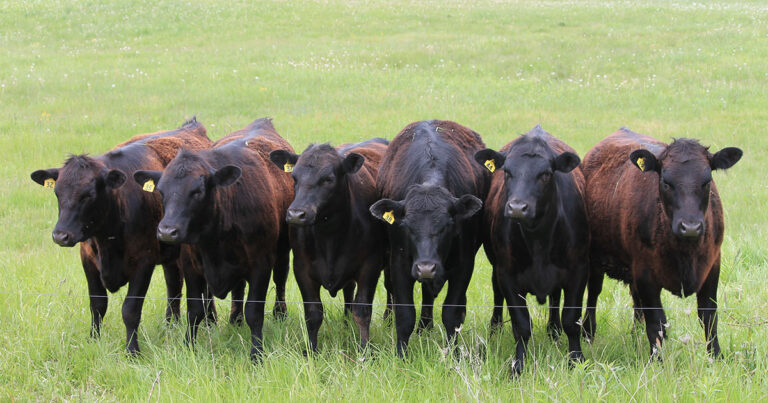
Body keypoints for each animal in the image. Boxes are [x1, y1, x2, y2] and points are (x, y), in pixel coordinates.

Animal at [30, 118, 212, 356]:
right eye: (57, 192)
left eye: (89, 195)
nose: (61, 235)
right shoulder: (88, 259)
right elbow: (97, 304)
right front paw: (93, 340)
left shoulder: (144, 262)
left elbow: (130, 310)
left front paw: (132, 350)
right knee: (173, 285)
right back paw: (170, 325)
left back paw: (210, 323)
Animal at [370, 120, 486, 356]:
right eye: (407, 226)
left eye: (447, 225)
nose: (426, 268)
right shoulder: (399, 262)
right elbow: (405, 314)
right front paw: (401, 355)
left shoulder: (464, 264)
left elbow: (451, 313)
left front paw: (453, 353)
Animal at [474, 126, 588, 376]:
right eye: (507, 172)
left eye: (545, 174)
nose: (517, 207)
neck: (539, 241)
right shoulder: (507, 275)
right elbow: (521, 325)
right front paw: (518, 366)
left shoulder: (578, 272)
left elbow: (571, 320)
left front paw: (576, 360)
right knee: (497, 293)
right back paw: (495, 328)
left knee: (555, 299)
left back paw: (553, 330)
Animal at [584, 128, 744, 358]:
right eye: (666, 182)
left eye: (706, 181)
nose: (691, 227)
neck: (685, 252)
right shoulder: (645, 272)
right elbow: (656, 321)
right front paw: (656, 359)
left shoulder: (713, 266)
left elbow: (709, 315)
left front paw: (716, 356)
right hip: (596, 259)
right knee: (593, 295)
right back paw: (588, 334)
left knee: (636, 303)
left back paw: (635, 337)